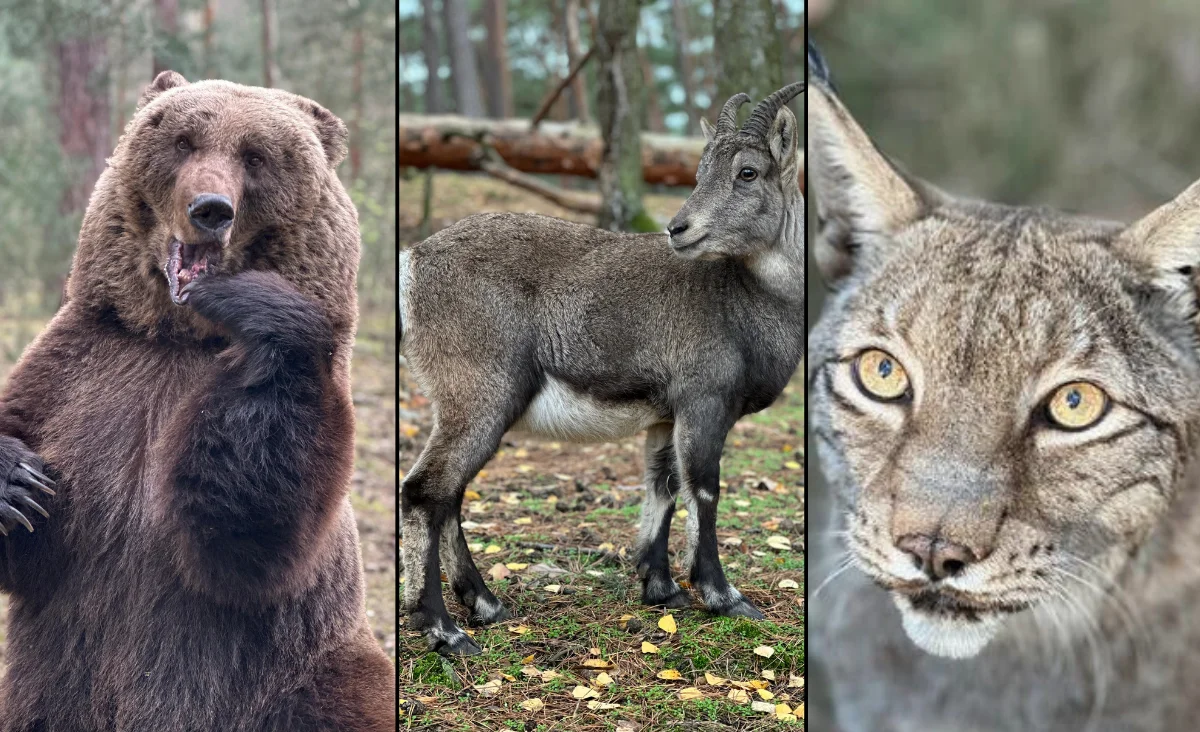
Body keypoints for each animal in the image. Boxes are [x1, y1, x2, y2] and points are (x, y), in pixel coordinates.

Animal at [0, 71, 394, 730]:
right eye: (184, 140)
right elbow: (36, 521)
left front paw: (255, 300)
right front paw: (18, 483)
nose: (210, 209)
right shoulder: (82, 373)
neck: (175, 334)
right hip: (45, 696)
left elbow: (247, 531)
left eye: (257, 156)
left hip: (303, 677)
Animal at [399, 83, 805, 655]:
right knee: (425, 492)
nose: (678, 228)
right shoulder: (704, 401)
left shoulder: (664, 414)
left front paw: (661, 589)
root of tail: (413, 262)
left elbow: (662, 486)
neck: (745, 298)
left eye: (747, 171)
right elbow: (703, 488)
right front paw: (725, 597)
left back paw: (486, 605)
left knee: (449, 495)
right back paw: (443, 629)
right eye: (700, 171)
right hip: (481, 396)